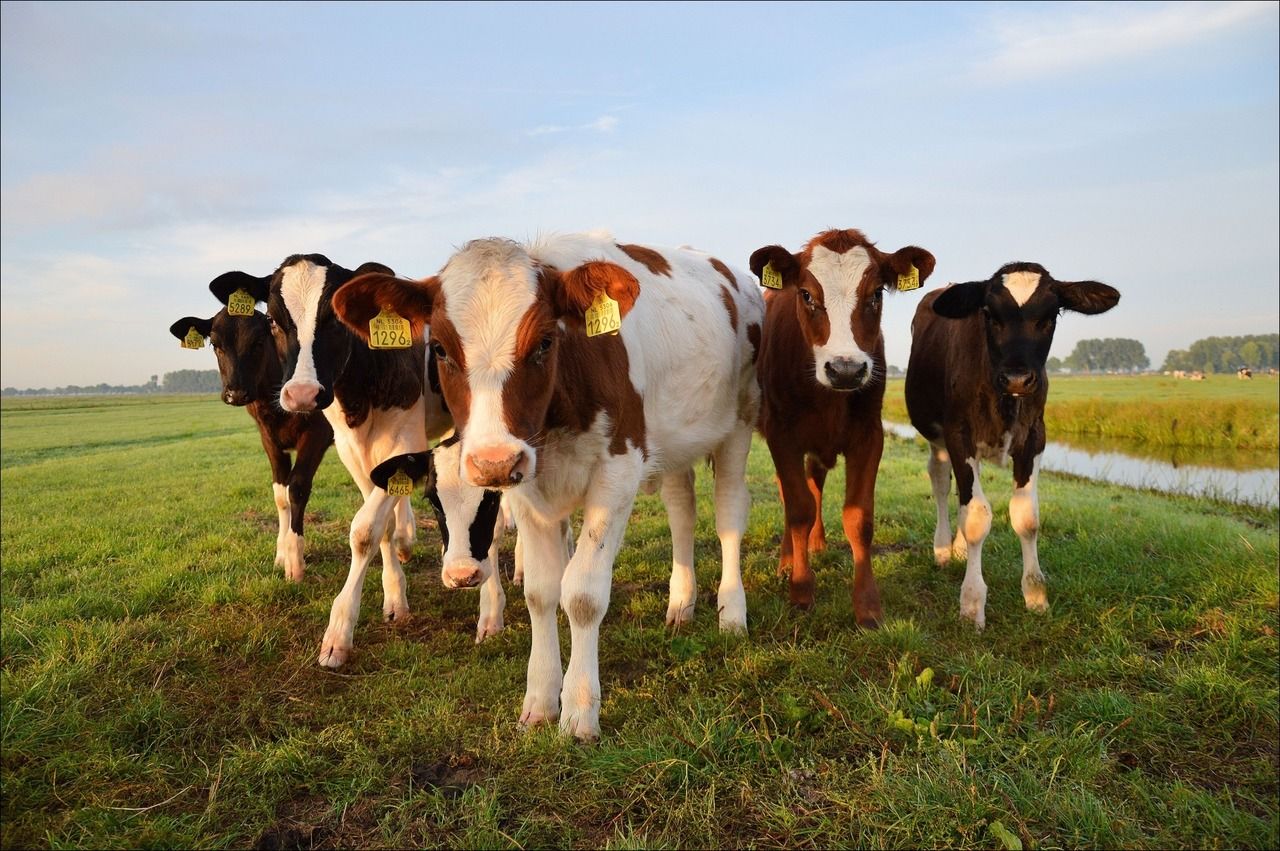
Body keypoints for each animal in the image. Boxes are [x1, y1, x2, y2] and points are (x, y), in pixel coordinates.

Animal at [168, 288, 333, 581]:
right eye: (215, 345)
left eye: (258, 343)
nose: (236, 393)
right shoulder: (269, 439)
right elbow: (280, 494)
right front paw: (281, 555)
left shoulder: (317, 433)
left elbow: (297, 487)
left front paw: (295, 561)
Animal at [217, 254, 505, 666]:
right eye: (272, 319)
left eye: (336, 319)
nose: (301, 394)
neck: (361, 386)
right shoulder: (350, 449)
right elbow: (381, 523)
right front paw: (395, 596)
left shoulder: (402, 438)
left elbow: (365, 528)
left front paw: (338, 631)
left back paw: (493, 607)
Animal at [332, 233, 764, 739]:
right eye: (437, 348)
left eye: (544, 342)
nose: (494, 460)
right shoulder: (527, 486)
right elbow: (541, 592)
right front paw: (539, 700)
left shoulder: (619, 471)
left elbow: (582, 593)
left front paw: (579, 709)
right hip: (675, 441)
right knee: (681, 510)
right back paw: (681, 603)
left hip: (739, 421)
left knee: (729, 514)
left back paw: (732, 612)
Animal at [749, 229, 935, 627]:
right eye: (806, 294)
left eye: (876, 293)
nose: (846, 370)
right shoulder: (781, 434)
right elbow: (798, 509)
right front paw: (801, 590)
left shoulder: (869, 435)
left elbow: (858, 517)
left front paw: (867, 606)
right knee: (791, 494)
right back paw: (787, 560)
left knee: (815, 481)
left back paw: (816, 543)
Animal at [905, 261, 1120, 629]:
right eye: (989, 314)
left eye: (1050, 316)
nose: (1018, 379)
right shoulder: (959, 436)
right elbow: (977, 516)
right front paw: (972, 603)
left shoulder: (1034, 438)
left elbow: (1026, 517)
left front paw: (1035, 595)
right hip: (937, 438)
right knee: (941, 483)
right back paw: (943, 549)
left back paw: (958, 548)